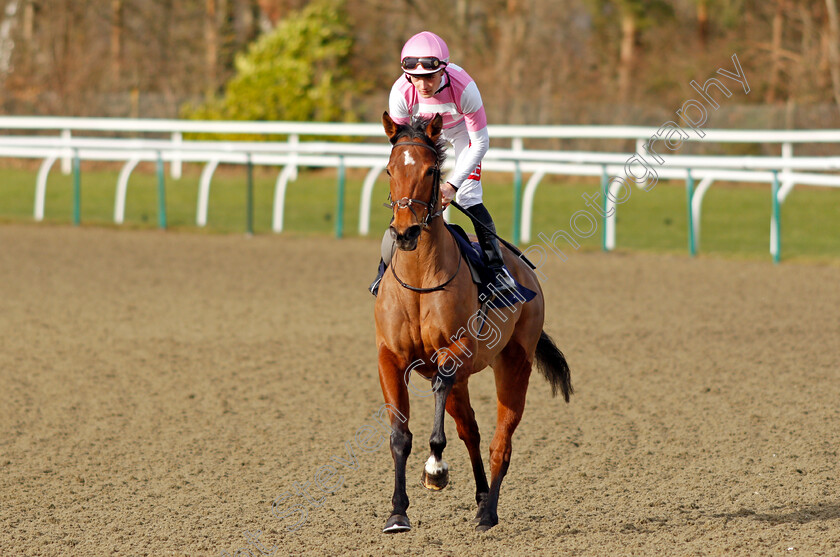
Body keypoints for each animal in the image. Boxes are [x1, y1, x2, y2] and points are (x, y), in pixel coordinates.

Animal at [378, 111, 576, 532]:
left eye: (431, 170)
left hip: (515, 364)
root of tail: (526, 273)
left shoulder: (457, 350)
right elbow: (400, 434)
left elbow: (442, 388)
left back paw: (488, 512)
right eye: (389, 169)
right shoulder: (390, 357)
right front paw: (398, 512)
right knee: (470, 429)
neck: (420, 279)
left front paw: (435, 468)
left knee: (502, 440)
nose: (405, 232)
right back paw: (482, 495)